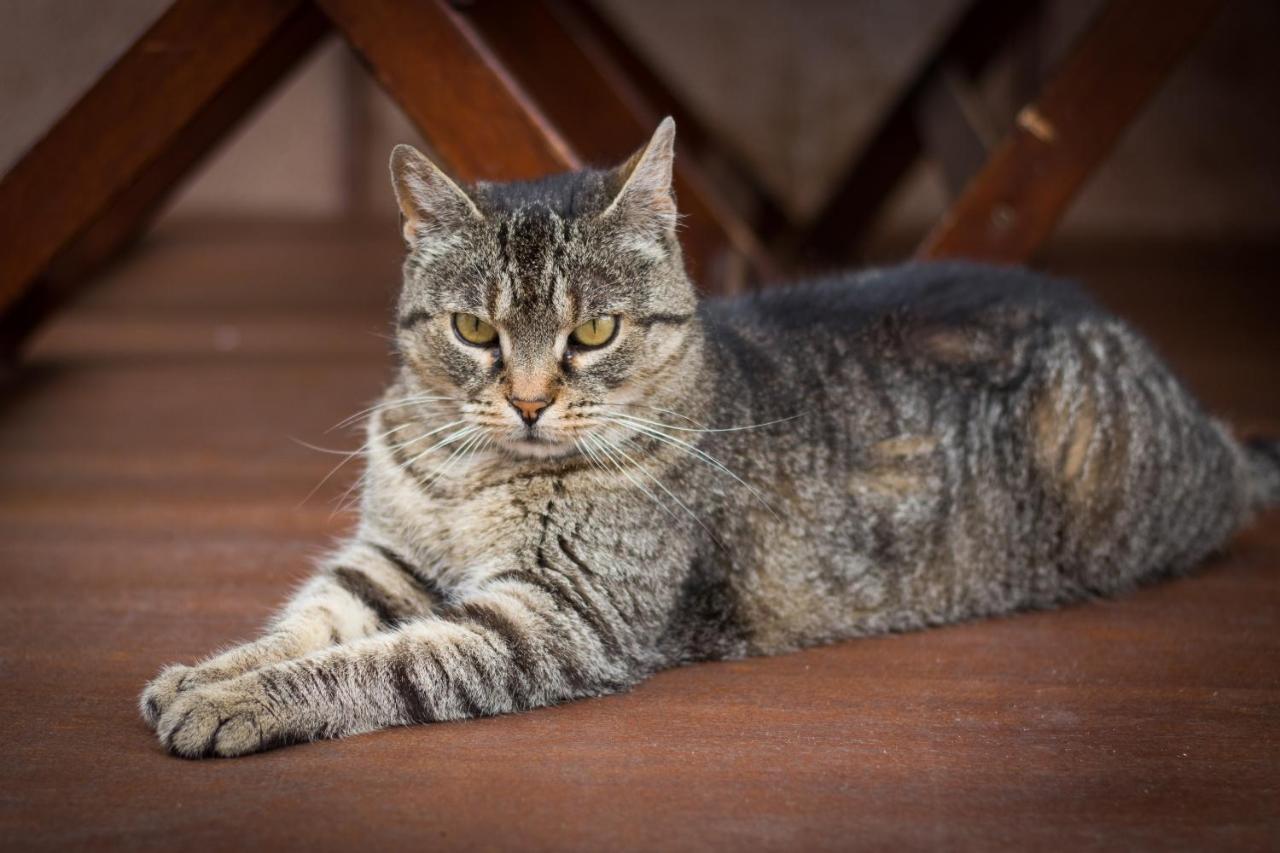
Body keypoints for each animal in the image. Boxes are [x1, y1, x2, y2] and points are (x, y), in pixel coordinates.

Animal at [140, 119, 1280, 758]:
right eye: (474, 329)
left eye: (592, 333)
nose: (528, 399)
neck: (482, 475)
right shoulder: (387, 559)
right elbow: (307, 622)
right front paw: (207, 672)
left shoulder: (558, 617)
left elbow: (379, 664)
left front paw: (239, 700)